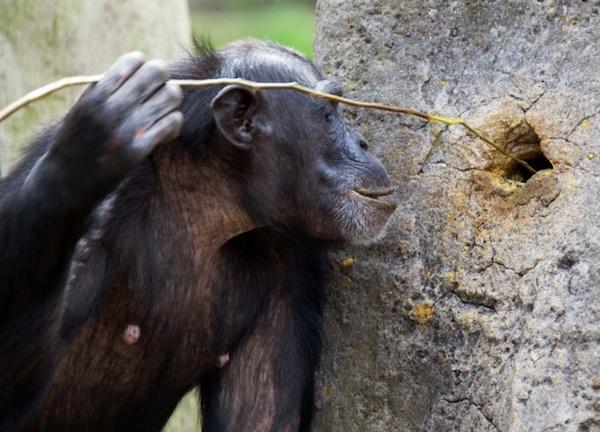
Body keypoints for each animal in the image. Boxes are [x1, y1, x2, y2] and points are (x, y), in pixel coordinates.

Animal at [0, 40, 396, 432]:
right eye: (328, 114)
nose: (362, 142)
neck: (204, 201)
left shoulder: (294, 265)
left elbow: (261, 418)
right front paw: (86, 156)